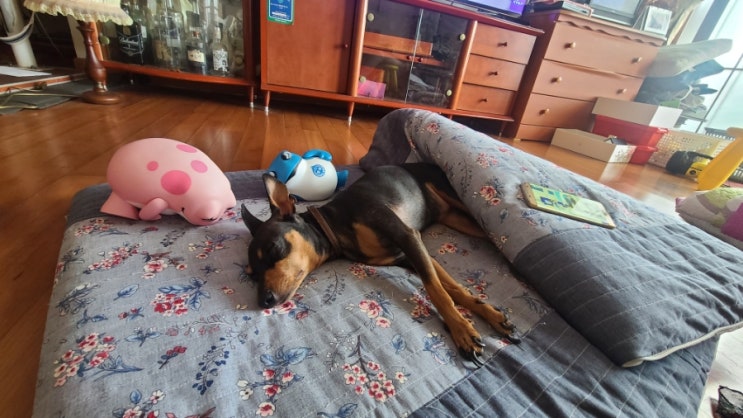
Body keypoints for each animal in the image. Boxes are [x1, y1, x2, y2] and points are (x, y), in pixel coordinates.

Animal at [241, 163, 520, 366]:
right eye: (252, 275)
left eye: (274, 249)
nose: (263, 301)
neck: (336, 225)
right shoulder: (408, 255)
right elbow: (451, 288)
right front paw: (488, 316)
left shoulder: (408, 236)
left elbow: (437, 291)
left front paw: (461, 331)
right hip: (457, 220)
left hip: (462, 205)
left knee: (494, 235)